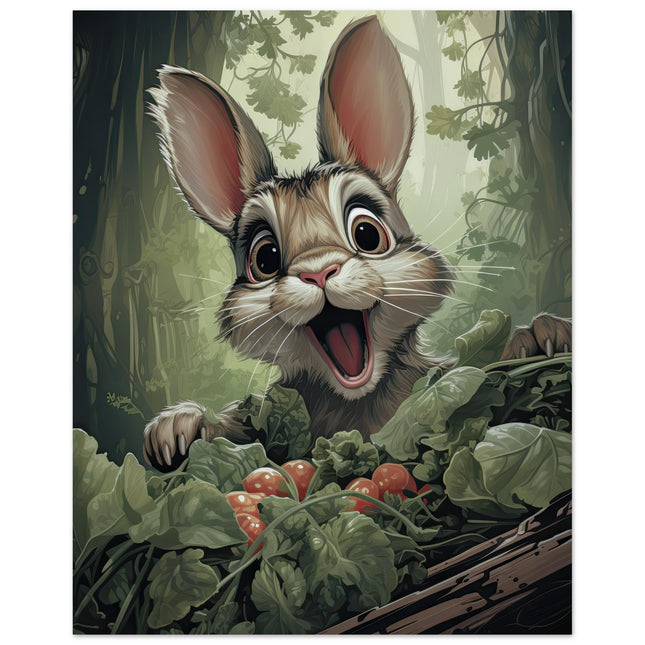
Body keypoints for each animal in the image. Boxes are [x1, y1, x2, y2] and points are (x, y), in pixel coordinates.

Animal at [143, 15, 572, 472]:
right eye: (265, 259)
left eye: (367, 234)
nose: (318, 272)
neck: (355, 401)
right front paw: (174, 432)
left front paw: (543, 338)